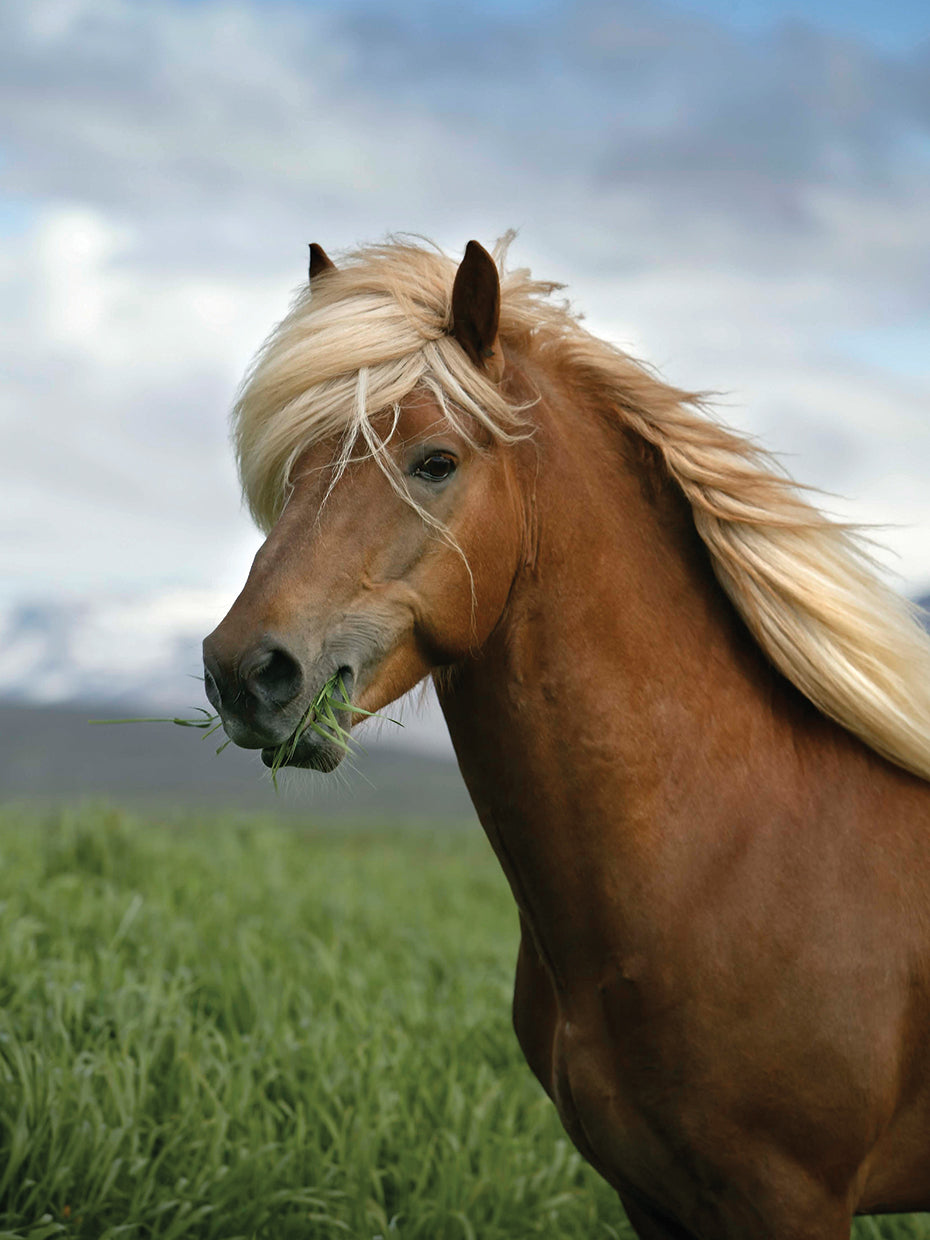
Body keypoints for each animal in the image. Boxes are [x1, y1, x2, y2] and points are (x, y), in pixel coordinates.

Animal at [202, 236, 930, 1239]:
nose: (245, 672)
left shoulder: (792, 1201)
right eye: (295, 467)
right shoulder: (649, 1196)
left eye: (435, 461)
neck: (730, 859)